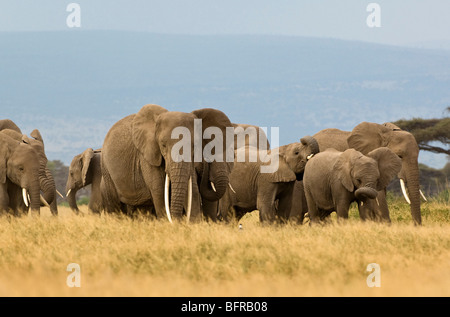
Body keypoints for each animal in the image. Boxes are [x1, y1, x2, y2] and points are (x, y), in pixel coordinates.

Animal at [100, 104, 234, 222]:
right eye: (163, 145)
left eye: (194, 146)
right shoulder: (148, 155)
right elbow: (159, 190)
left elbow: (192, 190)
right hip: (106, 169)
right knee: (115, 206)